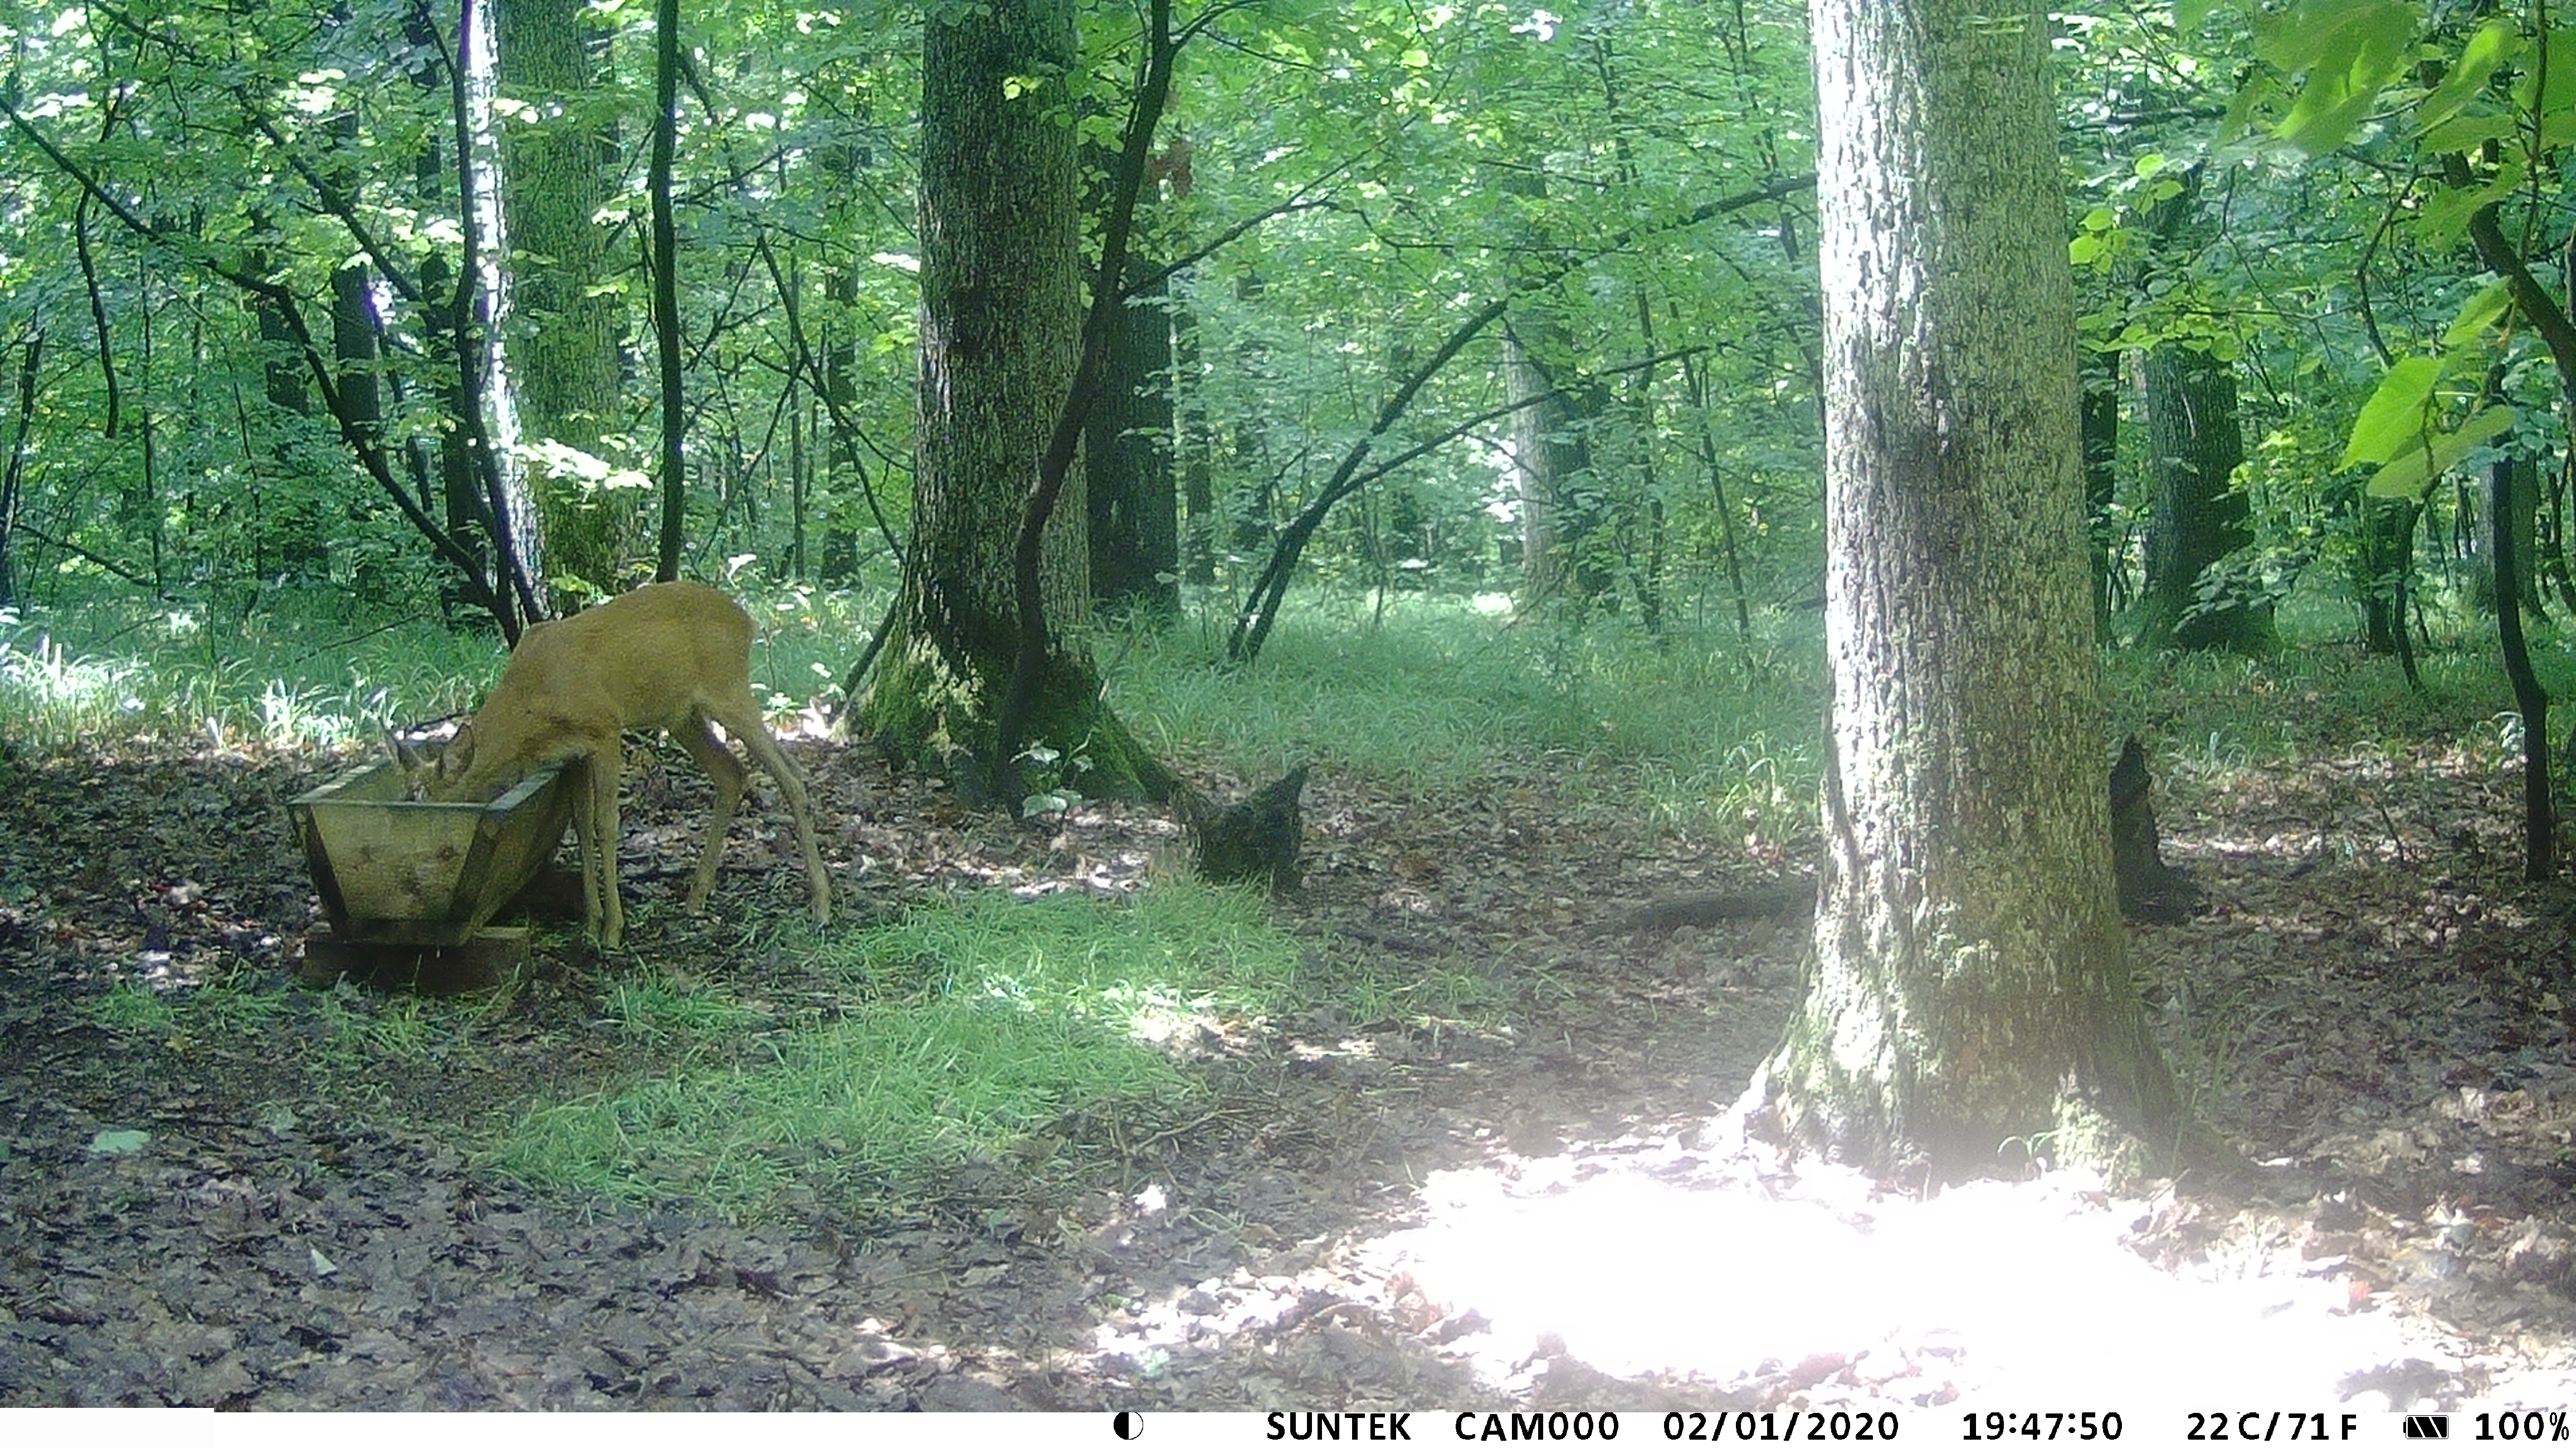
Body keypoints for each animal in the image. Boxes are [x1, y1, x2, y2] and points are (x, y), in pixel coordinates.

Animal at [392, 581, 833, 949]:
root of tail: (747, 620)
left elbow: (606, 825)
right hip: (683, 714)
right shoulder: (571, 755)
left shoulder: (604, 728)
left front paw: (613, 929)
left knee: (790, 774)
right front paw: (591, 922)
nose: (418, 849)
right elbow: (582, 826)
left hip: (729, 690)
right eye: (407, 797)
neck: (531, 703)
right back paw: (696, 896)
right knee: (732, 773)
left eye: (427, 798)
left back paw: (821, 905)